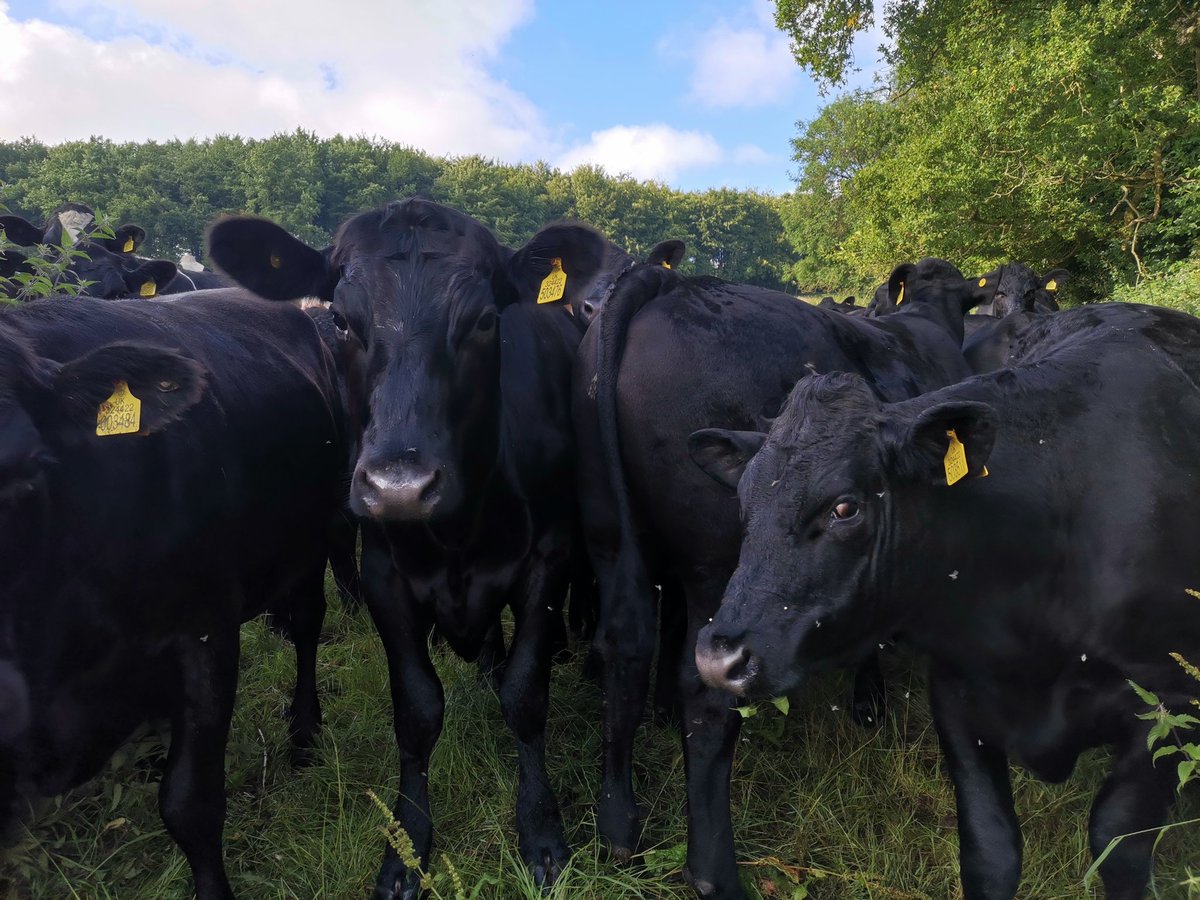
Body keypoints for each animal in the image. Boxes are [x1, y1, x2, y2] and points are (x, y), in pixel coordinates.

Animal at [0, 290, 347, 899]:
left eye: (26, 471)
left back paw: (304, 734)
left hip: (311, 541)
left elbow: (191, 803)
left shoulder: (203, 633)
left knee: (307, 626)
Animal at [206, 199, 616, 898]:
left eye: (484, 321)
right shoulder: (385, 579)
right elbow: (418, 710)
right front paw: (406, 849)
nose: (400, 486)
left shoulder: (547, 562)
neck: (460, 532)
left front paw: (541, 834)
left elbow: (526, 697)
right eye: (342, 321)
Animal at [576, 256, 1000, 898]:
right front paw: (870, 703)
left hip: (608, 531)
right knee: (707, 691)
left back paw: (618, 822)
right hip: (716, 566)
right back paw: (714, 869)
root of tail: (666, 280)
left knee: (624, 644)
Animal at [692, 299, 1200, 900]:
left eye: (845, 507)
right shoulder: (958, 693)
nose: (718, 658)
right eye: (743, 503)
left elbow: (1118, 840)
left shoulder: (1175, 698)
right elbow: (990, 850)